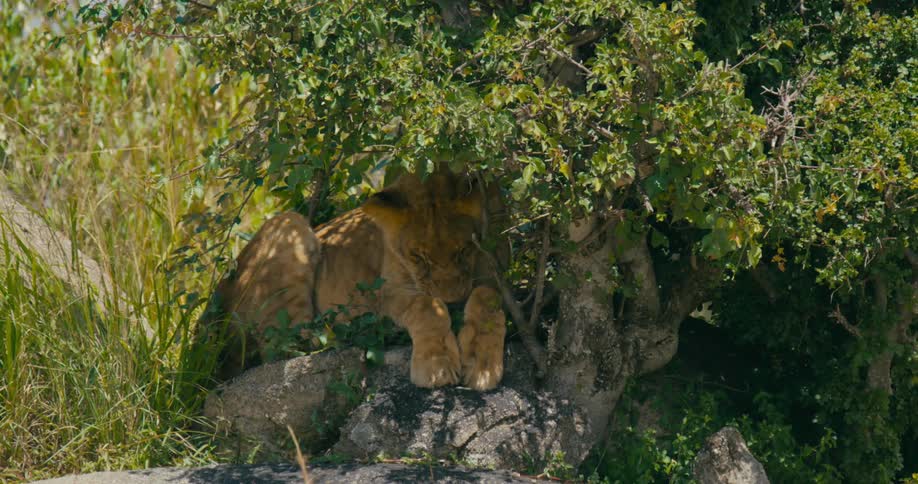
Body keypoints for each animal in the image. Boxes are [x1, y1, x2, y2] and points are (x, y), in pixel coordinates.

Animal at [206, 172, 506, 391]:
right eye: (417, 256)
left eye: (464, 250)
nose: (454, 302)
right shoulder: (388, 289)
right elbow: (428, 307)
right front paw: (436, 367)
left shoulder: (493, 273)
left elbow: (487, 299)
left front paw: (482, 366)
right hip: (289, 223)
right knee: (283, 345)